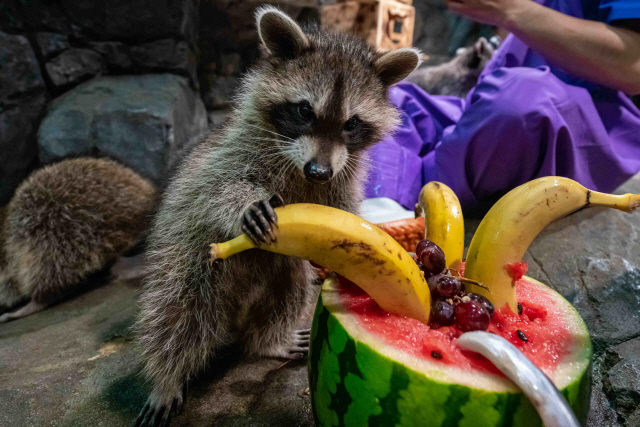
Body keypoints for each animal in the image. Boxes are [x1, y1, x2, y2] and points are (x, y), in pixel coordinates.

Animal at [136, 7, 420, 427]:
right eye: (304, 111)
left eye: (351, 123)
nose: (318, 171)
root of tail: (233, 321)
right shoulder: (234, 152)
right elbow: (216, 188)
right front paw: (244, 204)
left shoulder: (343, 176)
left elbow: (343, 210)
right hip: (186, 260)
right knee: (176, 310)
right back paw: (166, 376)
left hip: (276, 276)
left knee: (290, 284)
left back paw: (268, 339)